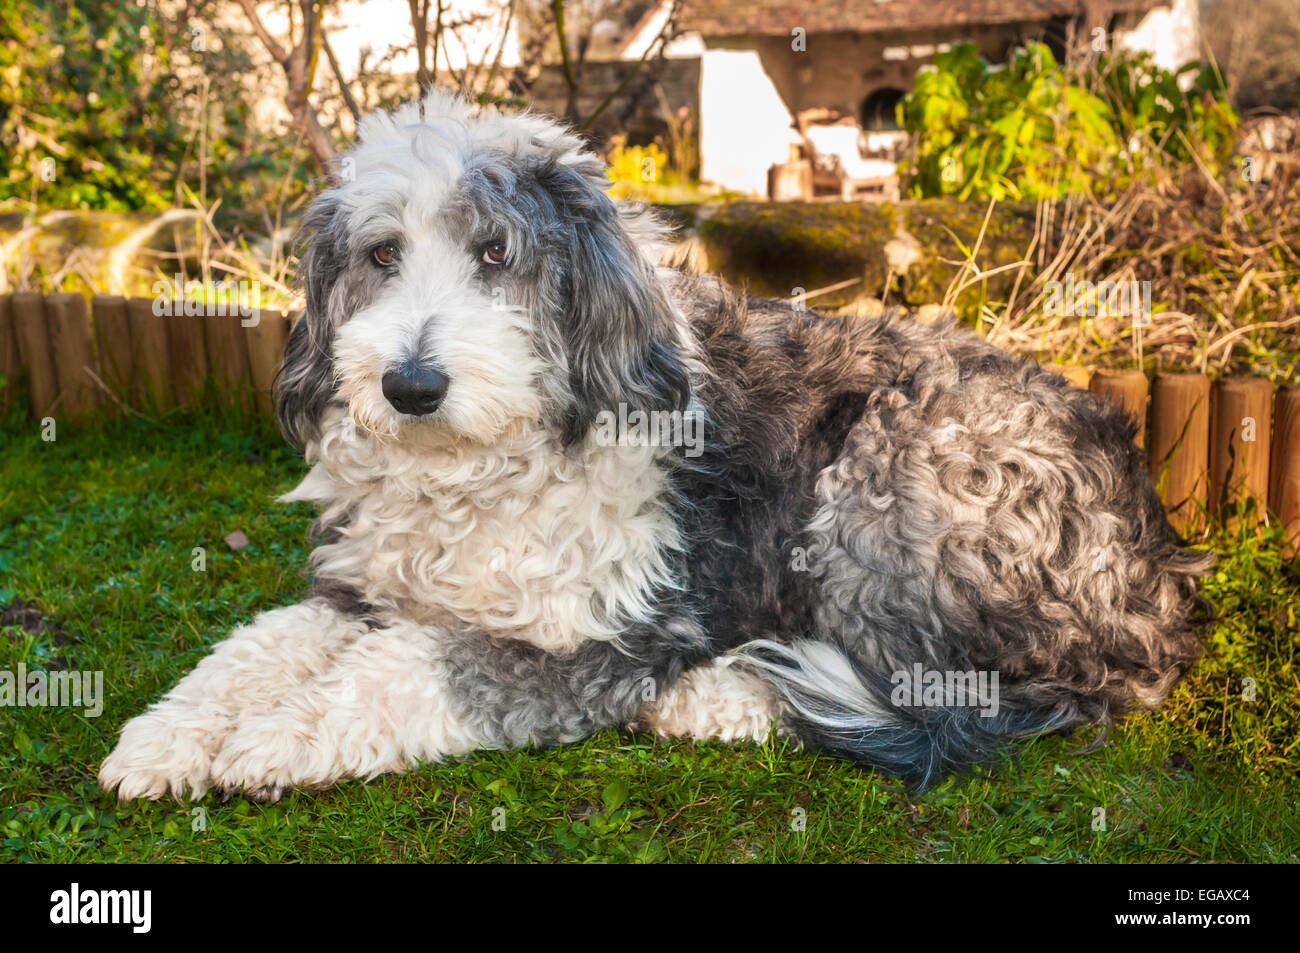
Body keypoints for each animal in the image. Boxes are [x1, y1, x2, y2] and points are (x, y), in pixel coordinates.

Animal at [96, 92, 1211, 800]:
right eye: (380, 254)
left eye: (495, 252)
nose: (408, 385)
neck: (482, 459)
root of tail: (1161, 581)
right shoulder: (360, 587)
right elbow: (257, 642)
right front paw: (170, 735)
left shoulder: (608, 634)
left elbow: (418, 666)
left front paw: (275, 736)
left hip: (898, 467)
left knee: (949, 693)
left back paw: (718, 697)